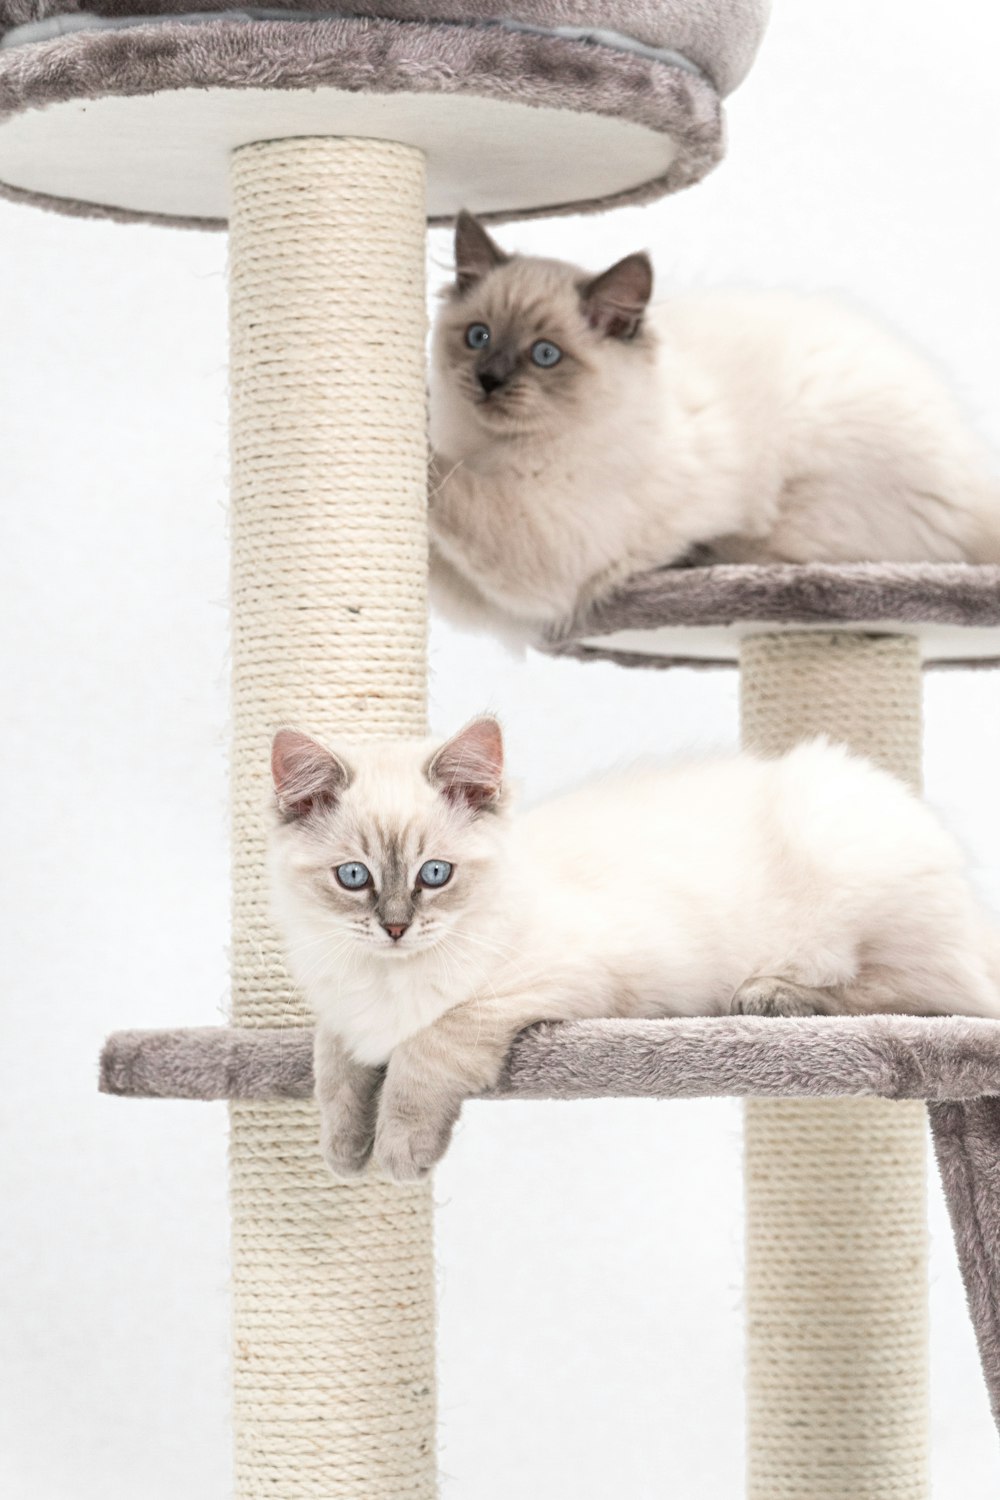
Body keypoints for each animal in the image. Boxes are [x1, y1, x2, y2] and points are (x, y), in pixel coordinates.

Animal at [269, 714, 1000, 1182]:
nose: (395, 928)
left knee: (920, 995)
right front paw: (342, 1151)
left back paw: (770, 995)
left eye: (435, 875)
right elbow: (334, 1069)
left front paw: (397, 1153)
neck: (388, 981)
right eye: (354, 877)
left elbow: (426, 1051)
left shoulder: (554, 982)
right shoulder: (344, 1018)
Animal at [428, 211, 1000, 633]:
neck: (494, 448)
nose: (489, 380)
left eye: (545, 355)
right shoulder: (475, 592)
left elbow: (454, 488)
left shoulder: (547, 547)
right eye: (478, 337)